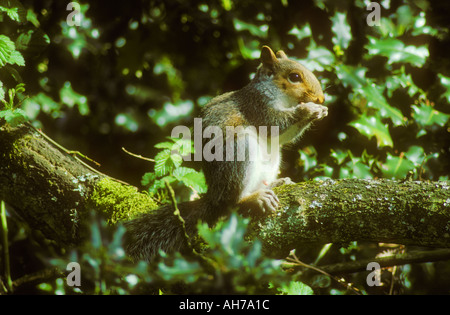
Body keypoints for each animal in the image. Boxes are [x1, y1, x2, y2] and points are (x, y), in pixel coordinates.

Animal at [124, 45, 326, 260]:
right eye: (294, 77)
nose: (321, 98)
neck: (282, 98)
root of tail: (214, 196)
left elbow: (283, 137)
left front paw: (321, 111)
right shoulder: (258, 107)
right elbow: (276, 124)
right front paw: (308, 110)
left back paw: (276, 183)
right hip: (239, 153)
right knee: (231, 203)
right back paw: (252, 199)